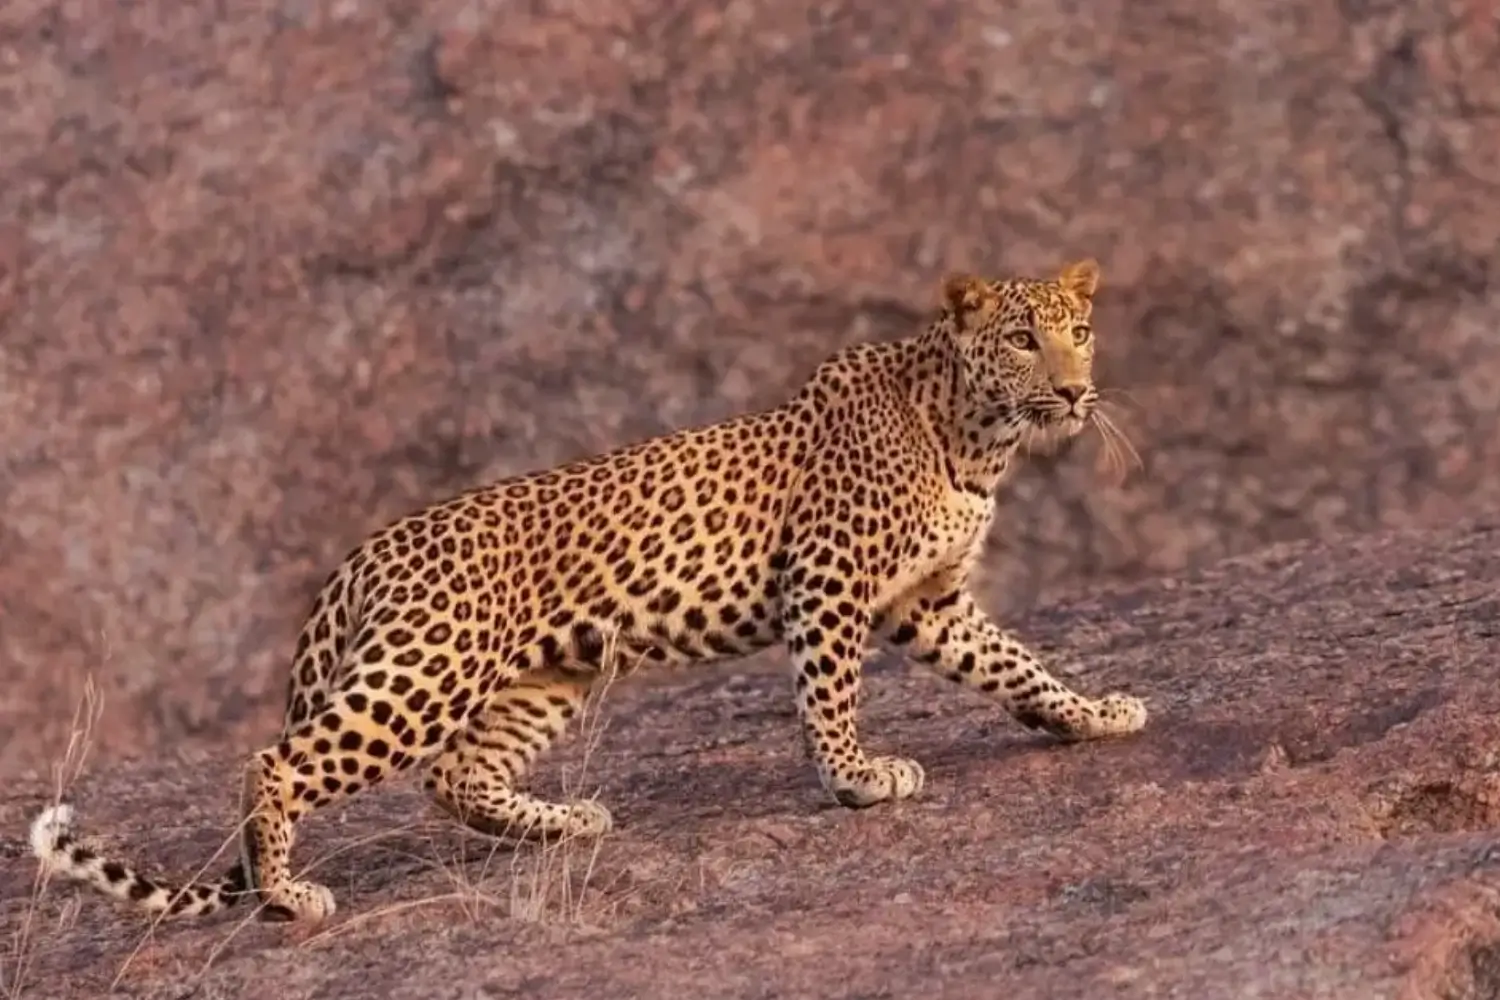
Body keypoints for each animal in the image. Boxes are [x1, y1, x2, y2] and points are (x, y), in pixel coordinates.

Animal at [30, 258, 1147, 924]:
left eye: (1080, 331)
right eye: (1021, 339)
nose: (1076, 391)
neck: (975, 438)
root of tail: (362, 555)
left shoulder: (928, 602)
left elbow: (1017, 662)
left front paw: (1093, 714)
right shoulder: (830, 583)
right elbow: (831, 694)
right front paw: (856, 778)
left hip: (540, 680)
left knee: (455, 777)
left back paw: (564, 824)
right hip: (426, 671)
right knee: (279, 759)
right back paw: (288, 892)